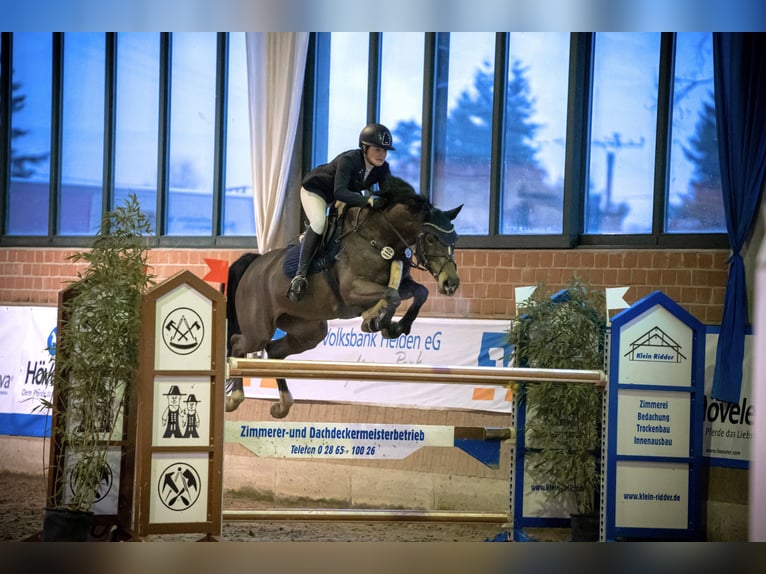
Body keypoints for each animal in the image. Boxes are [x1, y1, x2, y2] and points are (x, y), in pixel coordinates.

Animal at [224, 176, 462, 418]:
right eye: (431, 239)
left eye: (455, 238)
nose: (451, 283)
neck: (379, 238)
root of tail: (254, 264)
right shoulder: (352, 290)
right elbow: (392, 295)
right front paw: (377, 323)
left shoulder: (401, 284)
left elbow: (418, 293)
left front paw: (395, 327)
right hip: (259, 330)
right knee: (238, 343)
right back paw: (234, 398)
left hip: (309, 330)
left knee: (274, 350)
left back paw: (282, 404)